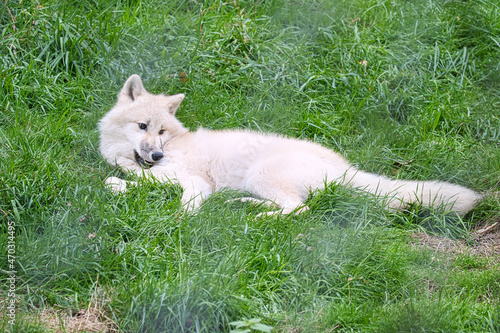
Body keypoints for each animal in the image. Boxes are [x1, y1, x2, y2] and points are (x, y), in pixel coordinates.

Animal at [98, 74, 484, 215]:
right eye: (143, 126)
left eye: (162, 131)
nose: (157, 153)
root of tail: (346, 168)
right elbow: (136, 178)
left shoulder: (192, 178)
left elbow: (145, 182)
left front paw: (182, 215)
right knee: (293, 206)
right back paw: (244, 205)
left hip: (261, 176)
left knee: (299, 211)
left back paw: (256, 217)